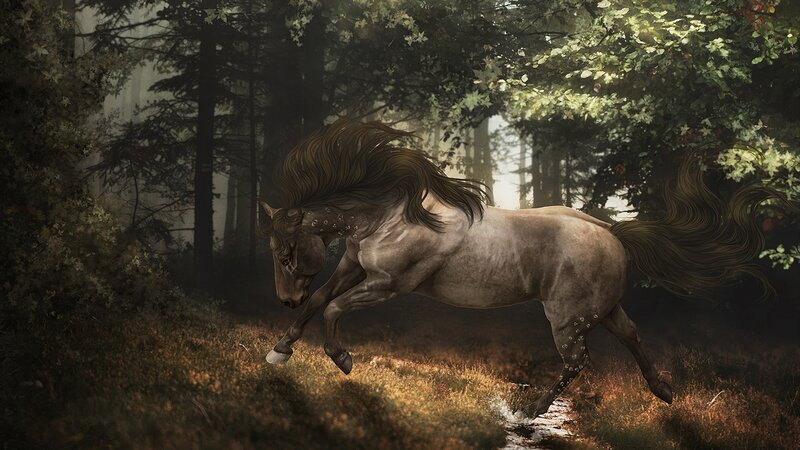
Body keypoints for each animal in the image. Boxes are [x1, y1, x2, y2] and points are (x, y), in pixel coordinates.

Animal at [259, 118, 778, 418]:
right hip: (603, 311)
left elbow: (333, 309)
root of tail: (613, 232)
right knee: (631, 337)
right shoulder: (351, 265)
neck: (392, 215)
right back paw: (664, 391)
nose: (283, 298)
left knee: (578, 361)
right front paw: (280, 350)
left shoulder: (388, 284)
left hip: (567, 319)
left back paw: (531, 412)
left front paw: (342, 359)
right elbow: (321, 300)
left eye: (285, 254)